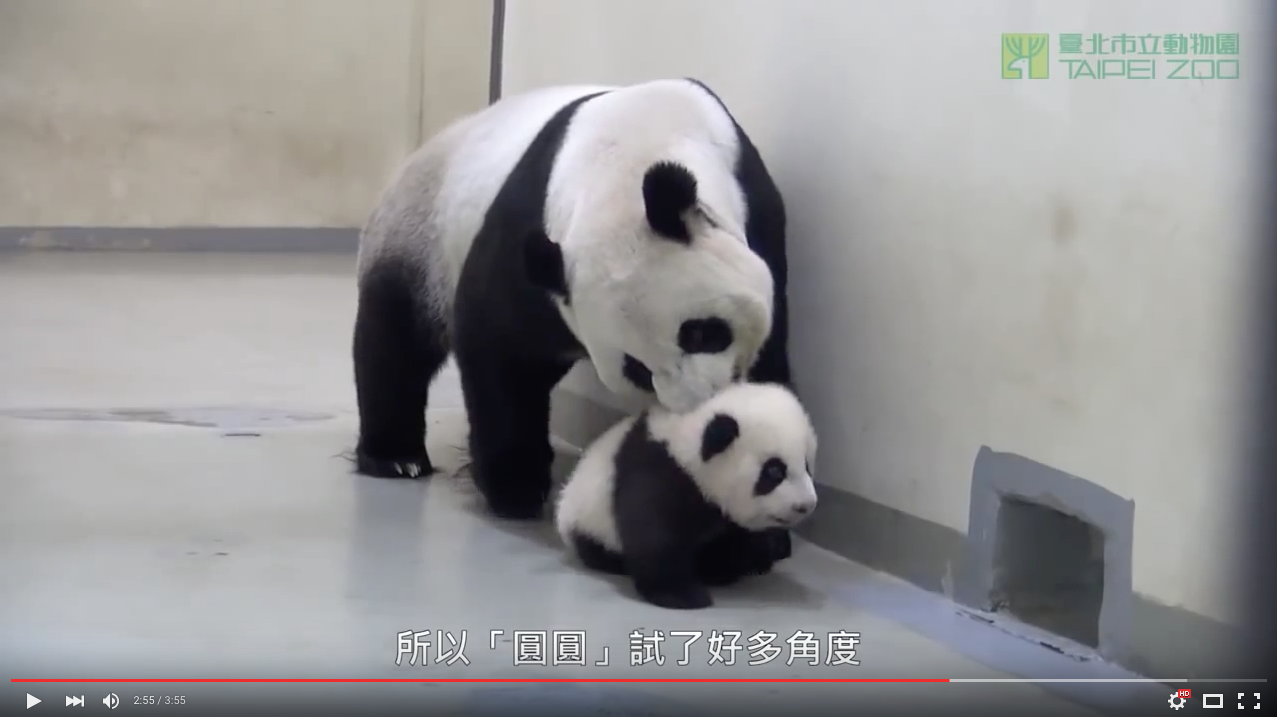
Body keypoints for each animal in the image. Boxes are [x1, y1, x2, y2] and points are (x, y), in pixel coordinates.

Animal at [351, 78, 792, 526]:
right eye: (636, 369)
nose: (696, 402)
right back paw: (396, 458)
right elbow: (499, 348)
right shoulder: (530, 245)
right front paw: (515, 487)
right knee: (395, 341)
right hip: (419, 242)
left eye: (699, 333)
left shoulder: (759, 210)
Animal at [554, 382, 818, 610]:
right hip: (587, 518)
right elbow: (653, 534)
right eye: (774, 471)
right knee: (595, 548)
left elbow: (735, 538)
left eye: (807, 465)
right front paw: (683, 595)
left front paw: (729, 566)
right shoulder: (659, 472)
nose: (806, 505)